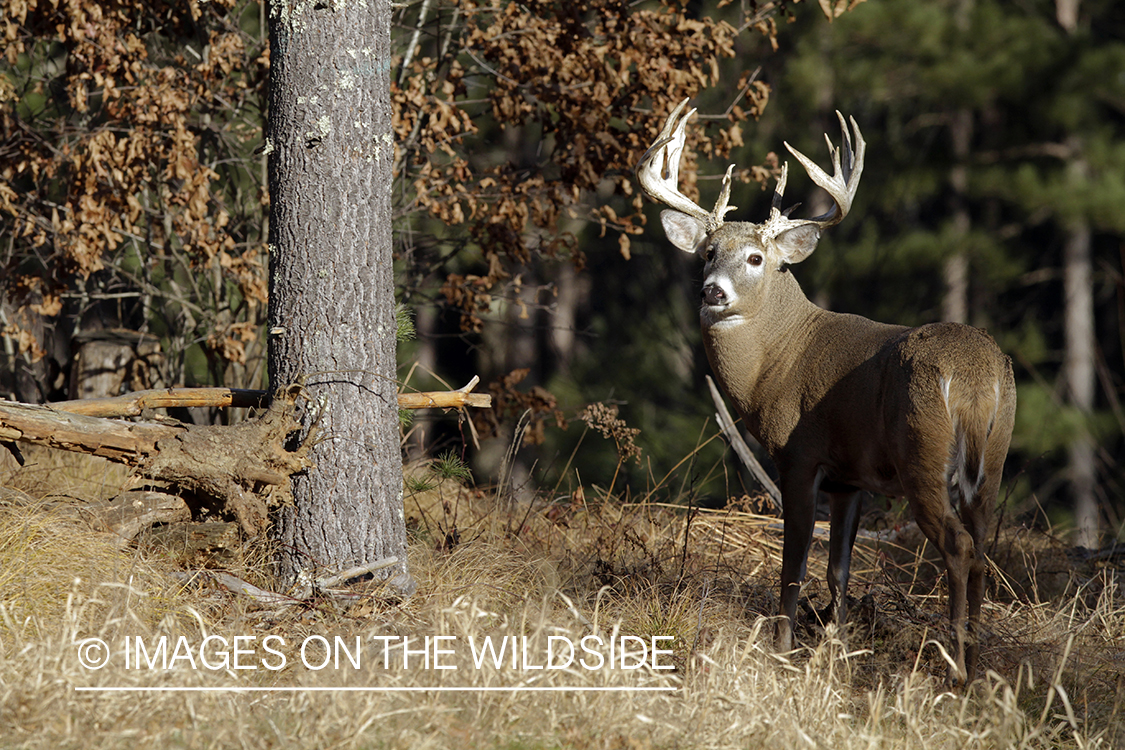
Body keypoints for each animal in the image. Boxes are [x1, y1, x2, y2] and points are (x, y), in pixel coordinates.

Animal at [639, 99, 1017, 688]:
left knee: (958, 547)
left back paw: (954, 672)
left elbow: (794, 562)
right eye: (707, 252)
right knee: (981, 547)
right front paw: (835, 655)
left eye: (756, 258)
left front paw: (781, 651)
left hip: (923, 452)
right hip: (993, 461)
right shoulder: (849, 478)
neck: (777, 361)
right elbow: (839, 569)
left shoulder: (800, 454)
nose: (712, 292)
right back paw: (975, 667)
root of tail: (977, 378)